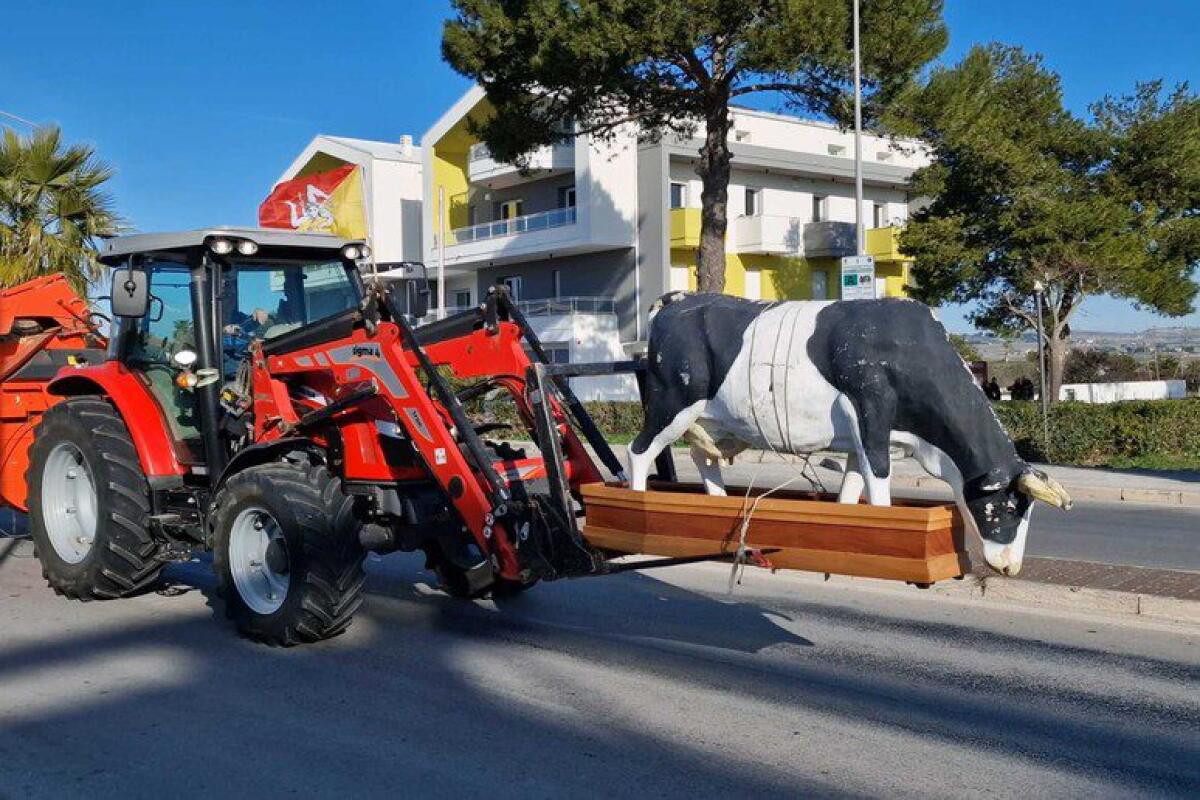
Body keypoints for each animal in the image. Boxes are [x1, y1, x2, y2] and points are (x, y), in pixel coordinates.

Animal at [627, 292, 1072, 576]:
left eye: (1028, 510)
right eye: (1009, 508)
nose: (1011, 566)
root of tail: (678, 300)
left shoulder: (867, 434)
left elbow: (854, 483)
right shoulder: (871, 408)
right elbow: (879, 479)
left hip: (710, 421)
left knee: (704, 457)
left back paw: (717, 503)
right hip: (671, 402)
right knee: (639, 451)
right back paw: (638, 505)